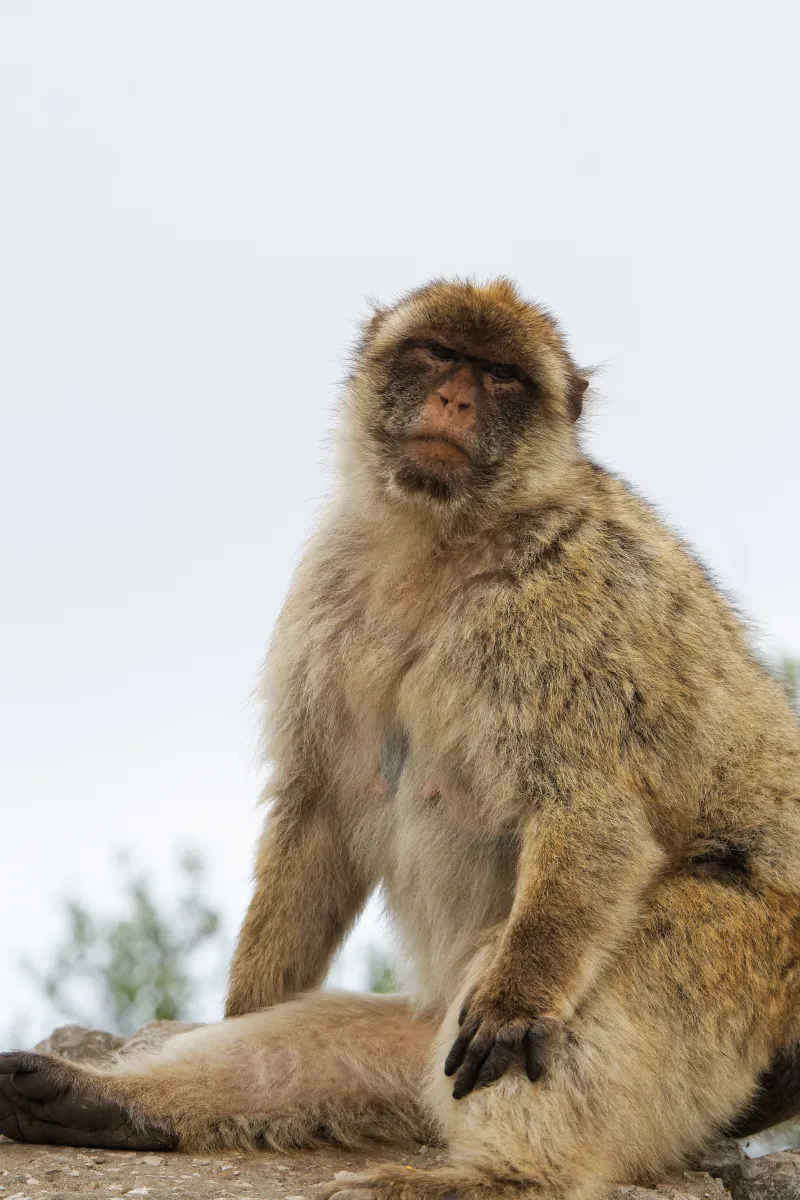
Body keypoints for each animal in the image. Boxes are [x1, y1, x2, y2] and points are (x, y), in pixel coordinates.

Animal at [3, 277, 800, 1200]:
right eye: (437, 354)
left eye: (500, 375)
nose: (454, 399)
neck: (442, 541)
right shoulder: (329, 585)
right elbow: (321, 805)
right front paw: (244, 1002)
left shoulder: (569, 606)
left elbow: (591, 817)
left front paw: (520, 999)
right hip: (430, 1040)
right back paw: (95, 1101)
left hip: (750, 957)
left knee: (588, 994)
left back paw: (504, 1178)